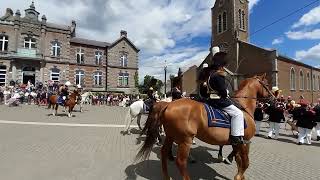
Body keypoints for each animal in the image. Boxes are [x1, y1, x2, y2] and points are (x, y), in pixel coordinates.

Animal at [136, 74, 274, 180]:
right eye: (267, 84)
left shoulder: (237, 143)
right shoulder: (245, 142)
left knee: (164, 153)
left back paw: (167, 176)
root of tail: (168, 105)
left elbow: (239, 161)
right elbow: (245, 163)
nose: (274, 97)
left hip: (171, 136)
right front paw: (238, 176)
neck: (243, 106)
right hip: (185, 140)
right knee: (180, 162)